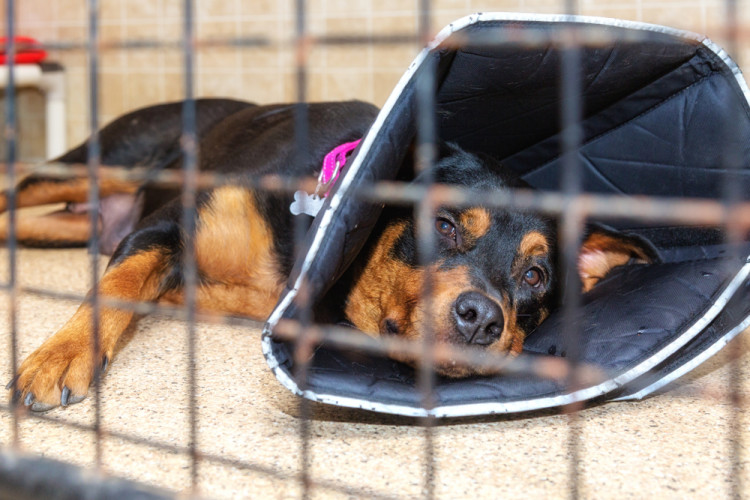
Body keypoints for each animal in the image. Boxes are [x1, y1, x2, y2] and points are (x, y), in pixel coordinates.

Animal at [1, 98, 656, 410]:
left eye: (536, 275)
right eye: (442, 224)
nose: (481, 320)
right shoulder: (164, 226)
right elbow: (117, 285)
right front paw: (60, 356)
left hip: (74, 222)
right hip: (102, 162)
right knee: (18, 187)